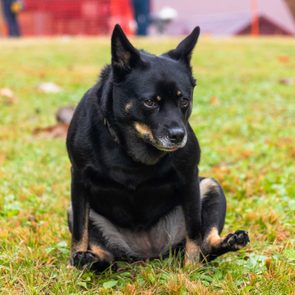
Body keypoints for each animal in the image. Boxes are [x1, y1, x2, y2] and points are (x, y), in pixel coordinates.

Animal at [66, 25, 250, 272]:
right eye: (150, 102)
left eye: (184, 101)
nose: (178, 135)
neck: (134, 145)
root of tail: (148, 252)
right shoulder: (79, 180)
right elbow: (80, 233)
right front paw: (72, 267)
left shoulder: (189, 179)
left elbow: (194, 232)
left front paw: (190, 271)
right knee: (106, 256)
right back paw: (89, 260)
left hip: (211, 186)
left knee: (206, 244)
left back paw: (229, 242)